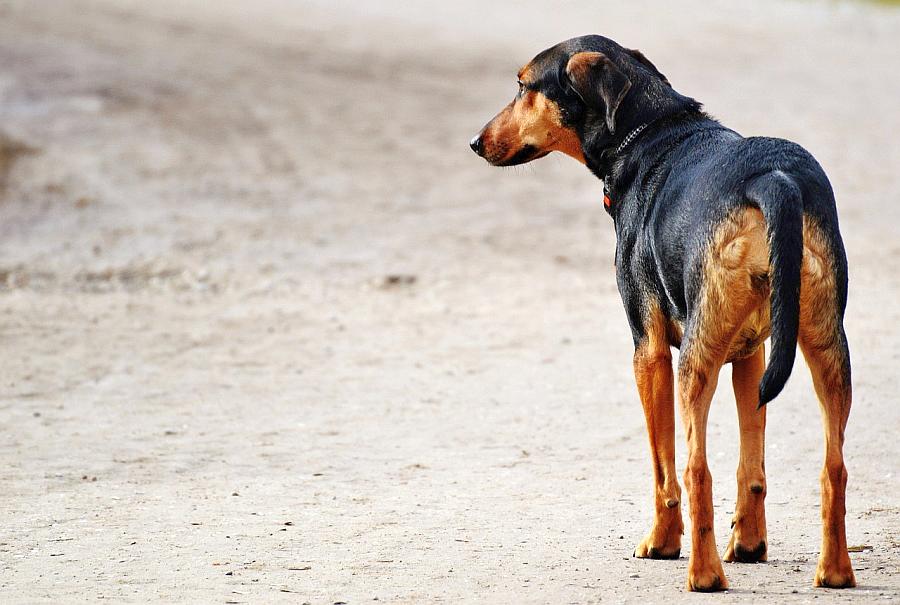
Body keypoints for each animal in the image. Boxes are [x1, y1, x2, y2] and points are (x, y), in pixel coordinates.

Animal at [468, 35, 856, 592]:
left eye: (523, 86)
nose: (474, 143)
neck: (649, 133)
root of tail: (773, 180)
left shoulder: (647, 352)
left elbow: (662, 466)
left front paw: (662, 542)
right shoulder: (752, 354)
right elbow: (751, 467)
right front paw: (750, 546)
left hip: (695, 361)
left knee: (696, 470)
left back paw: (704, 574)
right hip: (826, 346)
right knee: (834, 466)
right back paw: (835, 571)